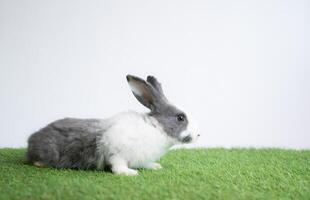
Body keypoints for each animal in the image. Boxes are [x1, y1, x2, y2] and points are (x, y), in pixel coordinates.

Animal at [27, 74, 200, 175]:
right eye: (180, 118)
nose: (199, 134)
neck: (155, 128)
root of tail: (31, 140)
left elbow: (146, 163)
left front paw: (155, 166)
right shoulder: (117, 153)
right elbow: (118, 167)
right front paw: (129, 173)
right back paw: (39, 163)